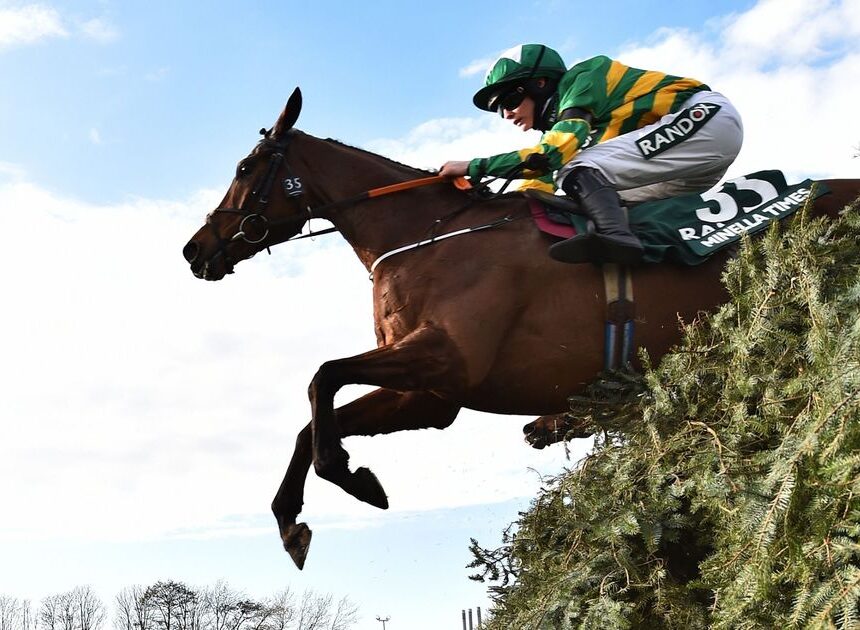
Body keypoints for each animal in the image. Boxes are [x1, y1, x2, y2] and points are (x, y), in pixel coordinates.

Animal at [182, 88, 860, 569]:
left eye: (246, 166)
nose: (195, 251)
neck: (426, 232)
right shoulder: (430, 396)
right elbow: (312, 414)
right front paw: (296, 517)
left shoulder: (450, 360)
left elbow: (321, 377)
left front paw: (346, 472)